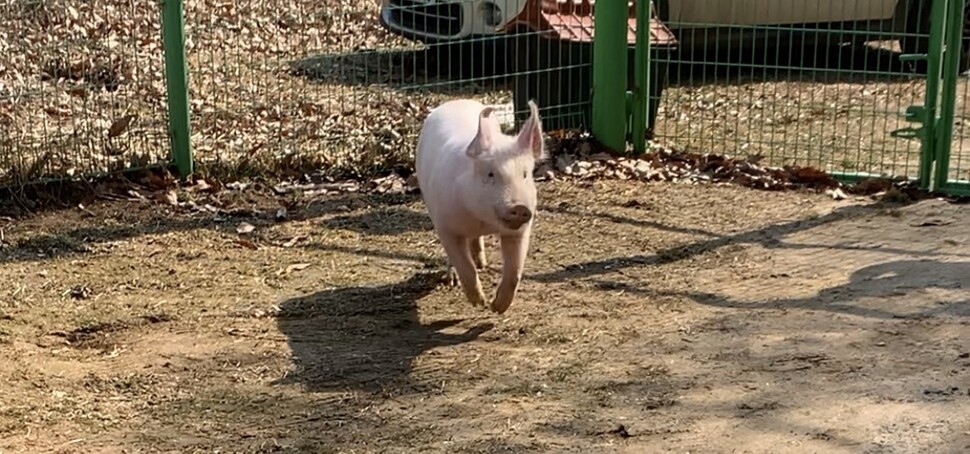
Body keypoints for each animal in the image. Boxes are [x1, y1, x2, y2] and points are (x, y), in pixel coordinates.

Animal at [410, 97, 540, 314]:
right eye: (490, 174)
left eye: (525, 174)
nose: (520, 207)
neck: (482, 220)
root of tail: (456, 101)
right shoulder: (445, 226)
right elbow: (465, 267)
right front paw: (480, 303)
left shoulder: (520, 230)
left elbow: (514, 271)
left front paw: (497, 308)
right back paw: (453, 279)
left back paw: (482, 264)